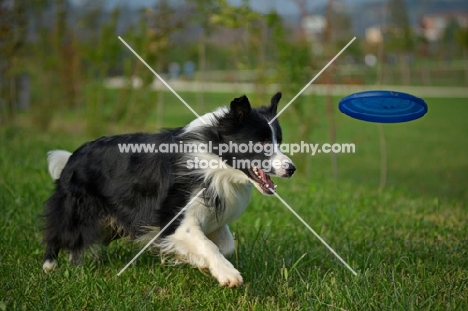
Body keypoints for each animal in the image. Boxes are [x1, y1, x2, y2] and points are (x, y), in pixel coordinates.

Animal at [42, 92, 294, 288]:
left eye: (279, 142)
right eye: (260, 144)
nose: (291, 169)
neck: (213, 157)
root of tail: (72, 157)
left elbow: (226, 245)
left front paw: (193, 261)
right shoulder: (175, 216)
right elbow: (207, 244)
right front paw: (227, 274)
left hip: (107, 222)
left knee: (78, 241)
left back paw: (76, 267)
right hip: (76, 205)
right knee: (60, 231)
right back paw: (49, 267)